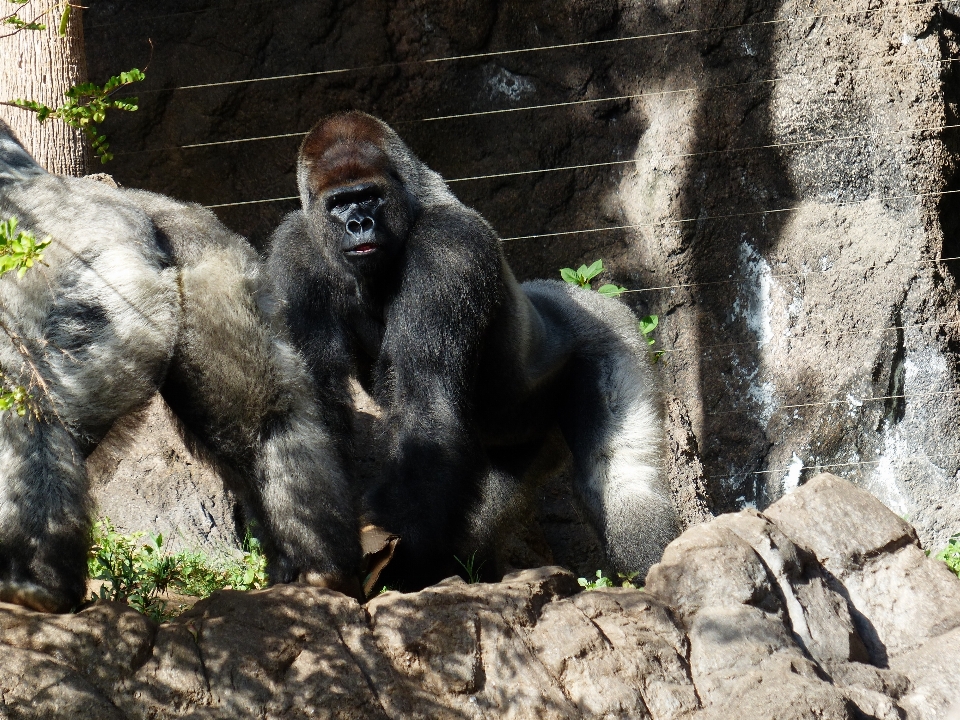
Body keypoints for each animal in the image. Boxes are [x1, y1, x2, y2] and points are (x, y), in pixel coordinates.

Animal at [0, 119, 360, 612]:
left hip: (94, 292)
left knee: (25, 406)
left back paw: (35, 584)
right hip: (216, 274)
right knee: (268, 423)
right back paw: (318, 565)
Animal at [266, 109, 680, 588]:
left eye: (368, 197)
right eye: (339, 204)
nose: (358, 224)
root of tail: (574, 292)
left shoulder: (450, 248)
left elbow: (427, 410)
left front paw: (398, 561)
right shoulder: (295, 251)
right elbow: (313, 405)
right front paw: (311, 550)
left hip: (616, 333)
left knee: (619, 474)